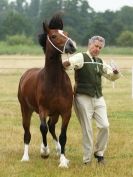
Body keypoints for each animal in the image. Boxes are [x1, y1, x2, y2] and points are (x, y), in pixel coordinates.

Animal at [17, 14, 76, 168]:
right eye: (54, 36)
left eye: (66, 33)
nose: (71, 45)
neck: (55, 82)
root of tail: (26, 74)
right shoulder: (43, 109)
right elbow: (42, 128)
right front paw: (44, 151)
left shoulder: (65, 112)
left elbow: (62, 135)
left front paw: (63, 161)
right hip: (26, 109)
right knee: (28, 132)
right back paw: (25, 157)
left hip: (54, 114)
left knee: (52, 127)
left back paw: (59, 150)